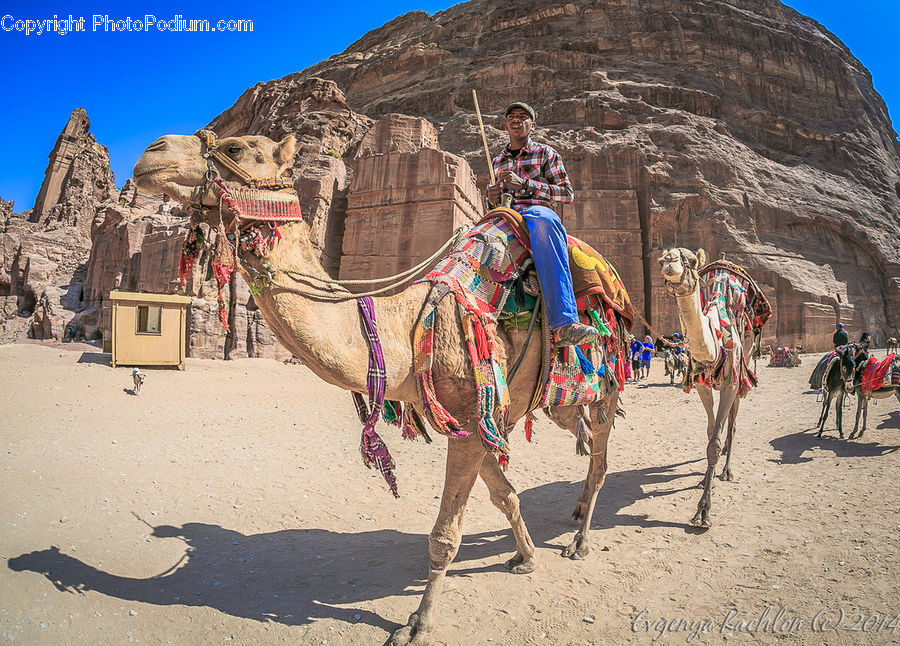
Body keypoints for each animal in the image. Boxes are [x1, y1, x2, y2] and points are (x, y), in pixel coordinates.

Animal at [133, 131, 624, 646]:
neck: (408, 327)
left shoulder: (472, 417)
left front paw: (418, 624)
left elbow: (445, 535)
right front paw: (526, 558)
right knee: (577, 431)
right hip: (560, 398)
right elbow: (504, 494)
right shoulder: (475, 422)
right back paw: (573, 515)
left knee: (600, 461)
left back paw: (581, 541)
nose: (153, 151)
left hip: (607, 382)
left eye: (240, 147)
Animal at [658, 248, 766, 528]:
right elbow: (709, 435)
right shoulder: (701, 385)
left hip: (743, 369)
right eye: (662, 258)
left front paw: (703, 511)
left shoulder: (730, 381)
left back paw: (727, 470)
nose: (669, 260)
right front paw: (704, 481)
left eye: (691, 261)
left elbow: (715, 444)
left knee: (733, 420)